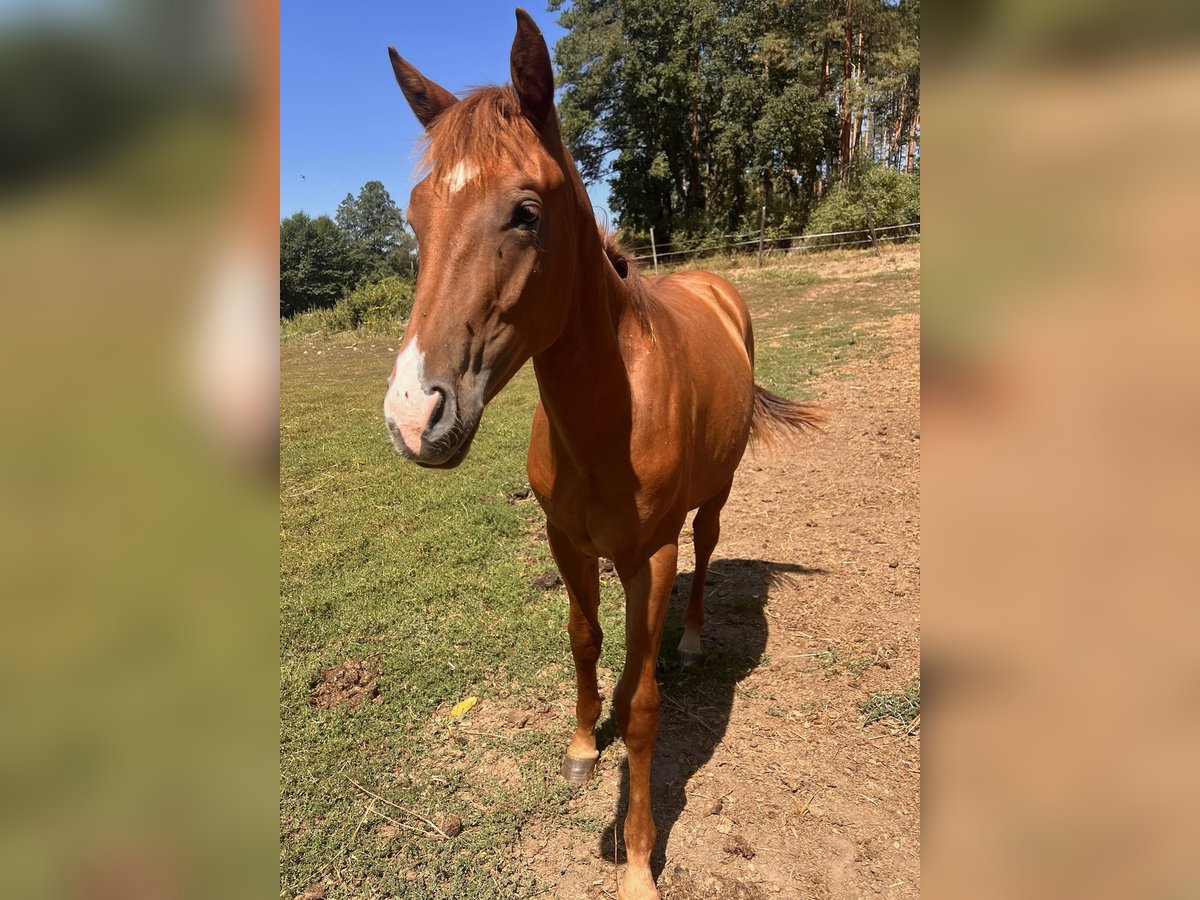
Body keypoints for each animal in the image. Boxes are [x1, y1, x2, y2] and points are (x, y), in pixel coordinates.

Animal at [384, 10, 825, 897]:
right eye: (414, 217)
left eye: (525, 211)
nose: (414, 415)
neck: (605, 419)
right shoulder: (567, 541)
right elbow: (584, 640)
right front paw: (586, 744)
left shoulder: (649, 555)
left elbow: (647, 704)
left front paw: (639, 862)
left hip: (712, 500)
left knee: (704, 553)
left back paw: (689, 641)